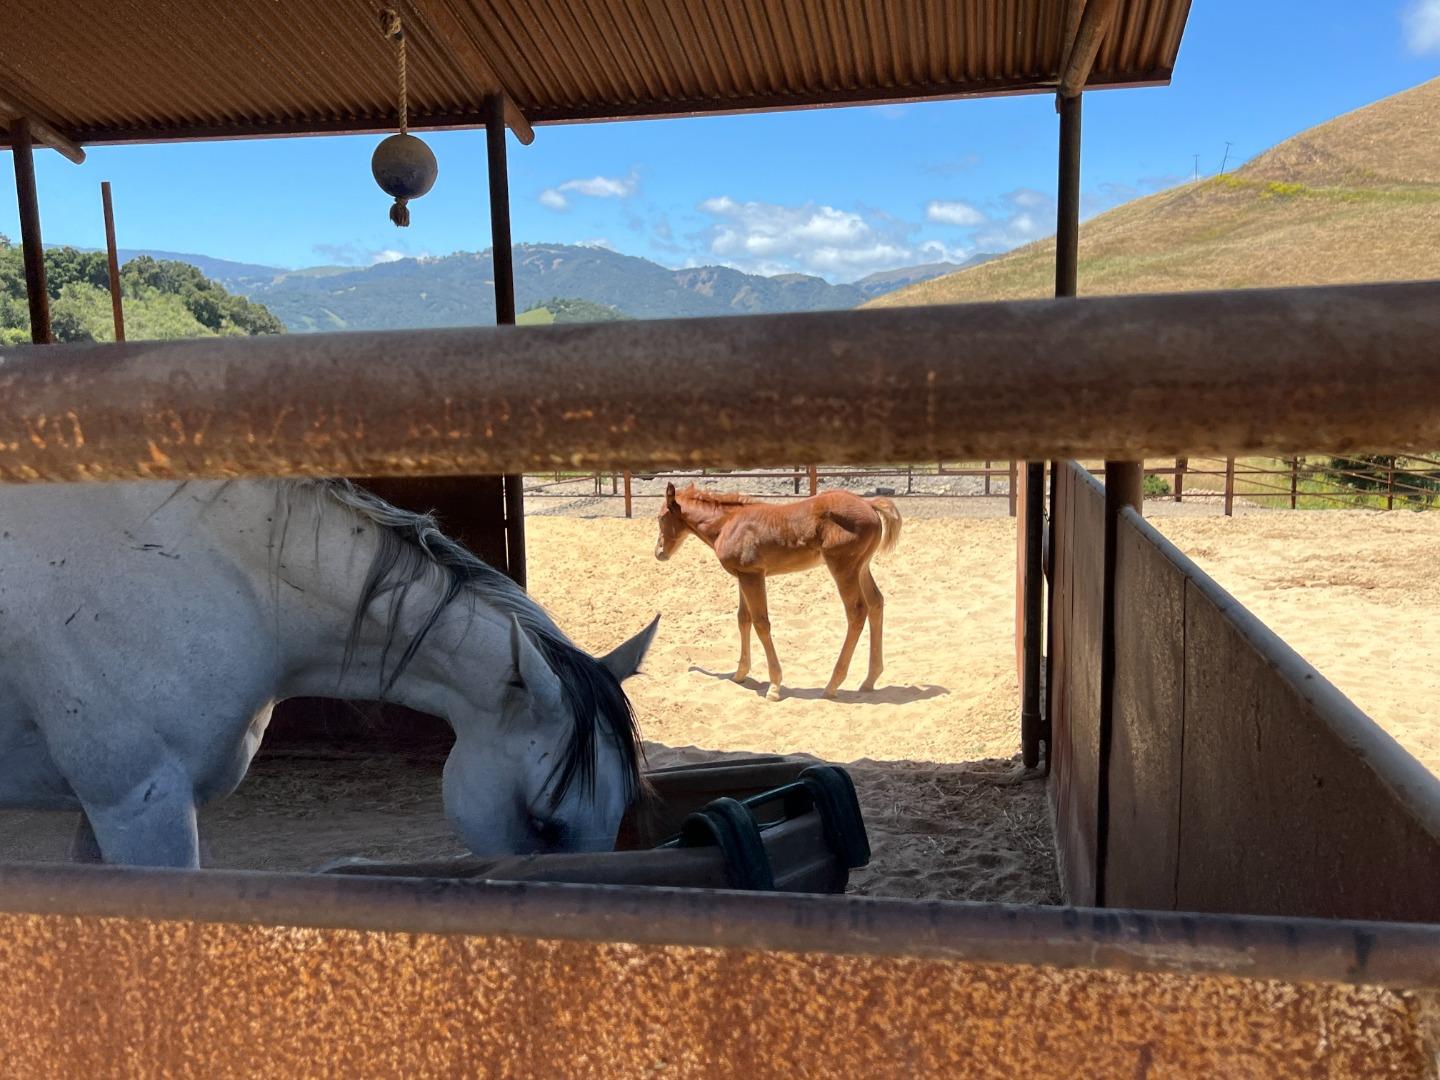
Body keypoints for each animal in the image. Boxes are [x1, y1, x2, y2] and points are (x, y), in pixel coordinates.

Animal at [656, 480, 898, 702]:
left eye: (660, 518)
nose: (659, 553)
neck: (727, 524)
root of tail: (869, 504)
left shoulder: (753, 575)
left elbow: (761, 623)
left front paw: (774, 686)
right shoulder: (743, 576)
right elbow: (743, 619)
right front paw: (740, 674)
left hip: (843, 568)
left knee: (857, 612)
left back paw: (832, 685)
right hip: (861, 567)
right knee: (876, 603)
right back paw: (869, 680)